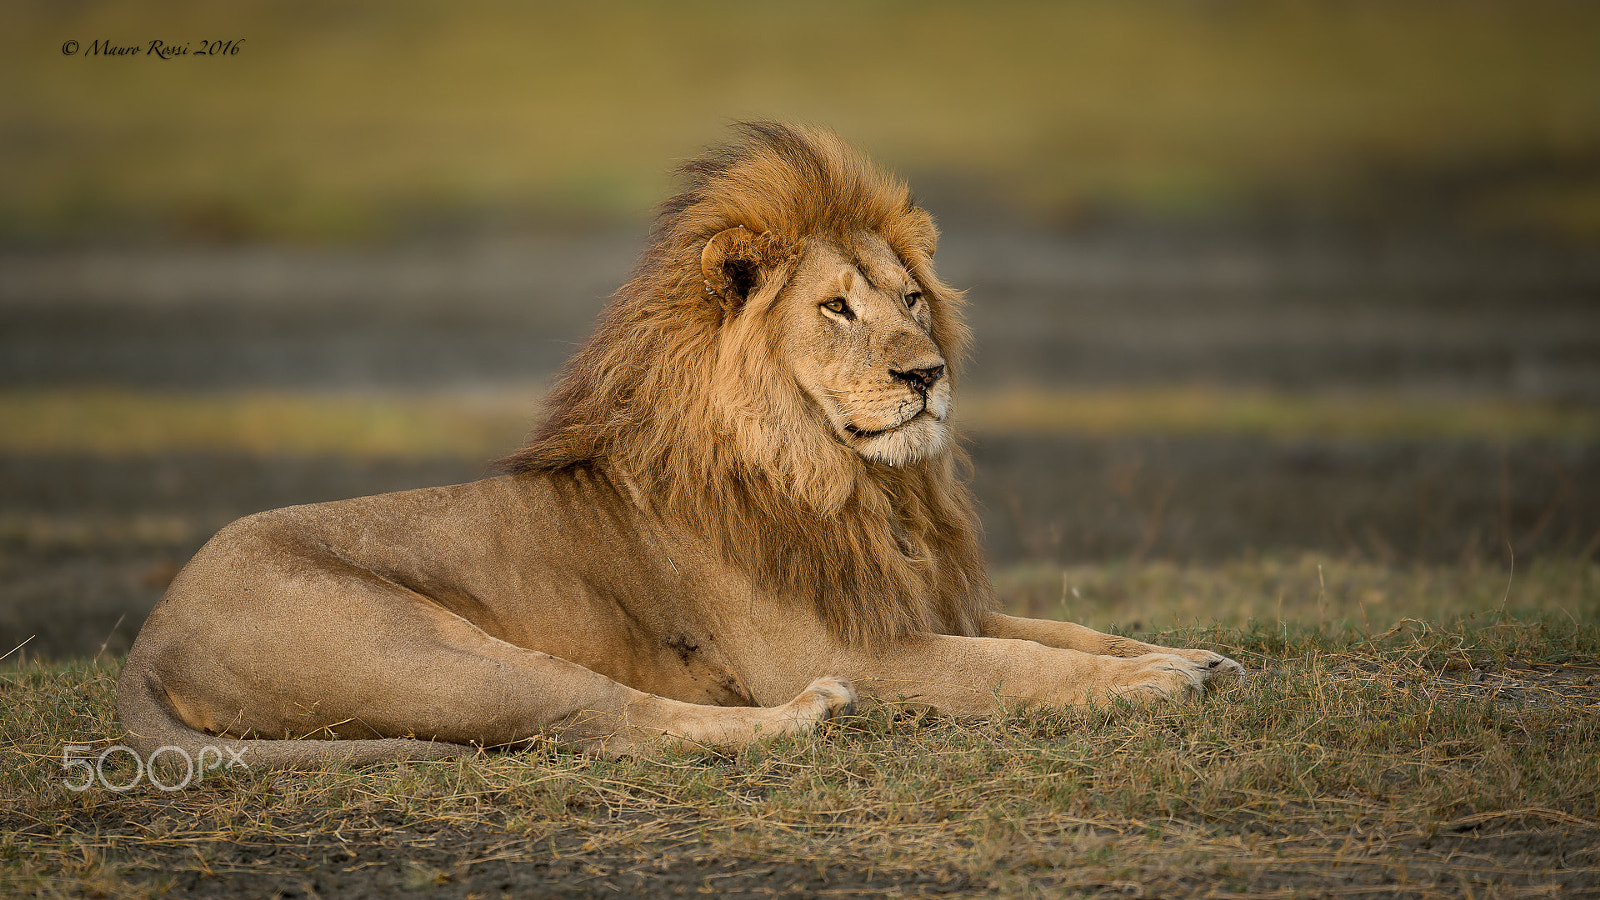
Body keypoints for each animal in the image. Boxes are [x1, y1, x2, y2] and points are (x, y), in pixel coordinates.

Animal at [118, 120, 1241, 762]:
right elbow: (1016, 667)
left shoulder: (931, 602)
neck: (861, 486)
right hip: (443, 655)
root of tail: (148, 638)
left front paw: (1196, 655)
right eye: (837, 308)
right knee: (603, 723)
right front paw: (1153, 684)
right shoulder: (850, 644)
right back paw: (807, 718)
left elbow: (1064, 632)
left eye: (913, 298)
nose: (927, 375)